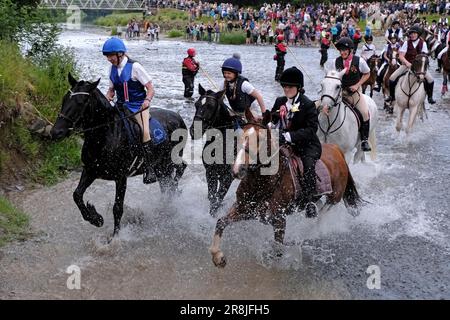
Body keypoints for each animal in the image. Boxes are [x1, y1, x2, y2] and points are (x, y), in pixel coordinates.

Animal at [51, 74, 186, 236]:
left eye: (81, 102)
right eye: (65, 99)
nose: (56, 132)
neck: (106, 135)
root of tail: (178, 117)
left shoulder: (121, 177)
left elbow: (117, 208)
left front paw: (115, 236)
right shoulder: (90, 170)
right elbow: (77, 195)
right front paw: (95, 218)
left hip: (168, 162)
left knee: (179, 171)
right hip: (161, 167)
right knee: (167, 186)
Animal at [190, 84, 244, 216]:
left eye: (210, 106)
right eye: (196, 104)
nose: (194, 131)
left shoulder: (228, 177)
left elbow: (218, 199)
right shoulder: (211, 172)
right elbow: (212, 196)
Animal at [210, 111, 362, 266]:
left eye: (261, 139)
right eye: (239, 136)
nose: (237, 170)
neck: (262, 183)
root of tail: (337, 150)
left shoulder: (279, 220)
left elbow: (277, 250)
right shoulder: (243, 209)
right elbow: (221, 222)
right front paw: (218, 257)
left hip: (334, 198)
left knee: (321, 218)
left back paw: (310, 233)